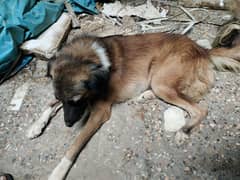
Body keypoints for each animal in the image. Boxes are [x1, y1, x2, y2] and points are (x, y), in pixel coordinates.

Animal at [47, 32, 240, 180]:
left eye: (76, 100)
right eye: (60, 98)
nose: (68, 124)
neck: (87, 57)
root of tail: (202, 49)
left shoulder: (100, 111)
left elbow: (76, 143)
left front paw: (58, 171)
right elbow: (49, 105)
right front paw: (39, 125)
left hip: (161, 82)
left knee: (200, 109)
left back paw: (184, 130)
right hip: (159, 80)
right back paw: (145, 95)